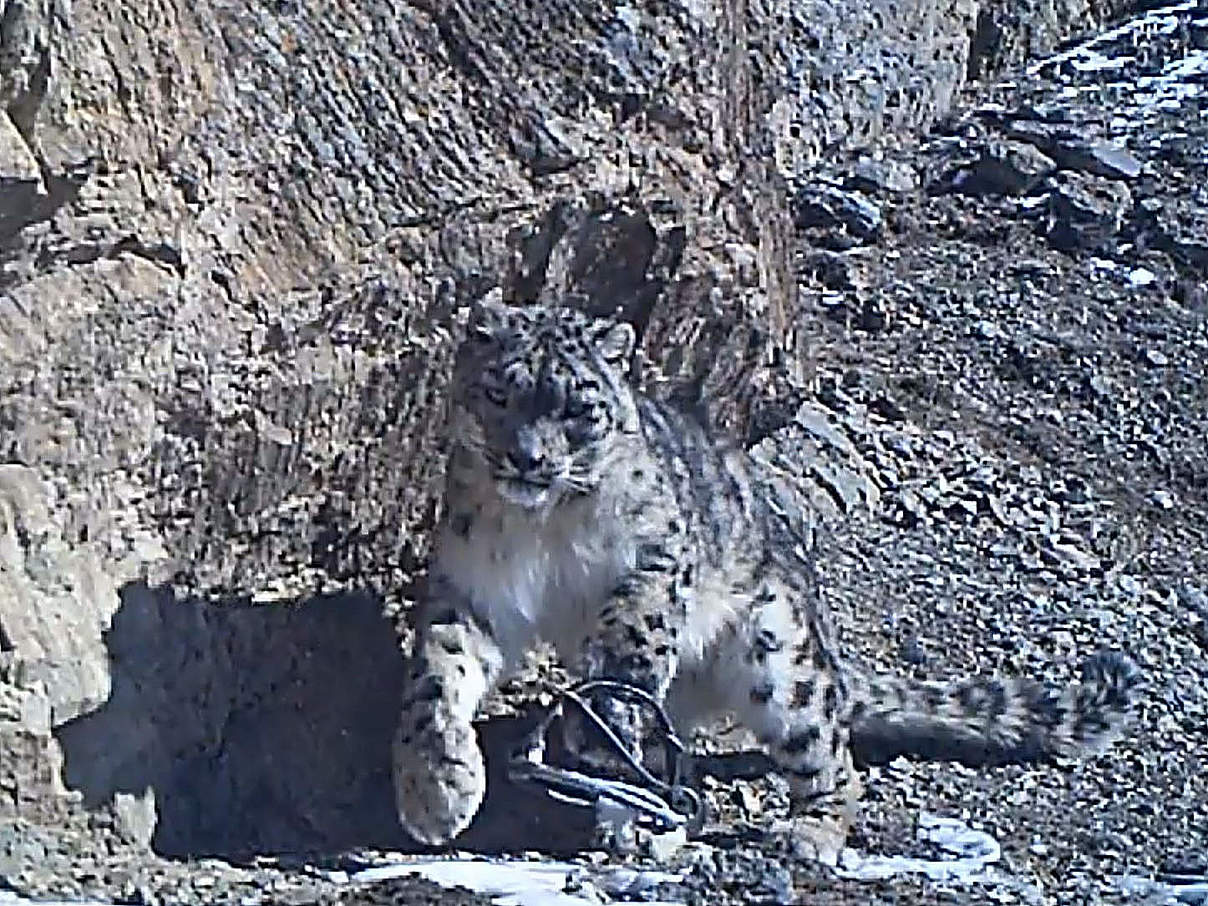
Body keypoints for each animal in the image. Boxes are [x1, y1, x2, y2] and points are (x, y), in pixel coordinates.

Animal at [388, 298, 1140, 864]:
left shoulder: (655, 559)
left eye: (578, 407)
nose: (528, 458)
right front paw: (437, 790)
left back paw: (806, 831)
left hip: (780, 653)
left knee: (828, 751)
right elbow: (436, 677)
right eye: (497, 392)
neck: (539, 529)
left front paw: (604, 708)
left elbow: (631, 633)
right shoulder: (475, 591)